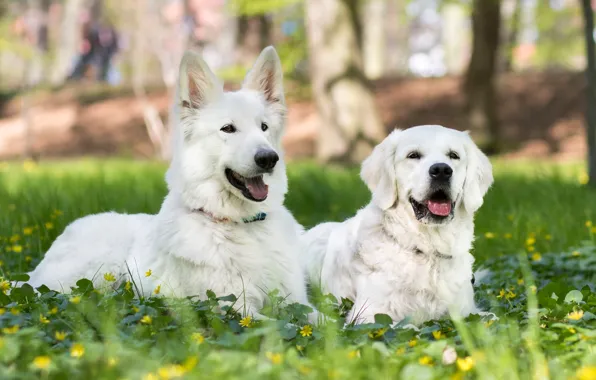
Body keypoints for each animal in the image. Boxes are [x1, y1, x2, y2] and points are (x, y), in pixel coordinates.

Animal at [26, 46, 316, 320]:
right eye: (228, 129)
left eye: (264, 127)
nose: (269, 158)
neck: (241, 224)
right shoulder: (232, 307)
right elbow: (278, 325)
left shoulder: (296, 301)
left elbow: (318, 320)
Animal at [302, 126, 494, 326]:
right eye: (413, 155)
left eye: (453, 155)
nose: (441, 170)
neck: (427, 249)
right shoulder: (368, 315)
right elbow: (408, 326)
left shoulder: (467, 311)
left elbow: (491, 318)